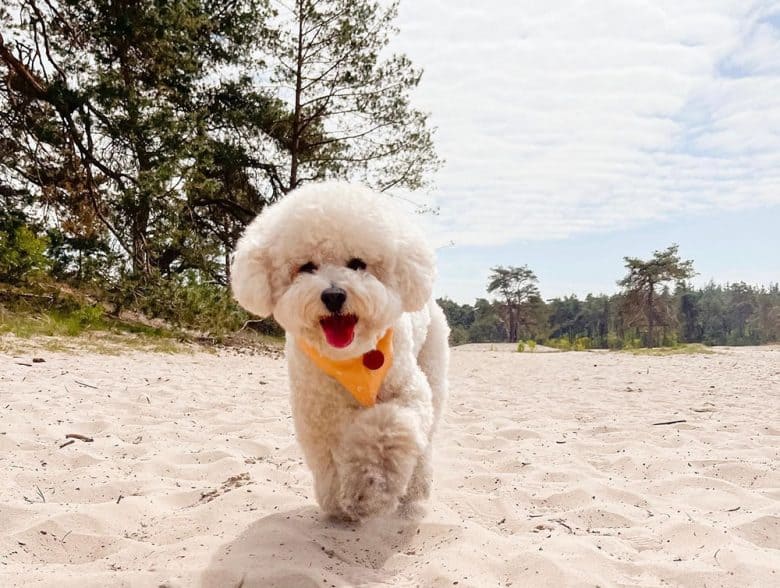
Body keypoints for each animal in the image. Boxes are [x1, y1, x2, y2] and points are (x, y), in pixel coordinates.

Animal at [232, 183, 448, 520]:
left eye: (357, 264)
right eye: (307, 267)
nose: (333, 295)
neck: (351, 360)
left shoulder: (408, 392)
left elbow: (386, 429)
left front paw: (371, 489)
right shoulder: (316, 417)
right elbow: (327, 461)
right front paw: (338, 501)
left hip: (433, 369)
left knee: (425, 438)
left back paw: (415, 491)